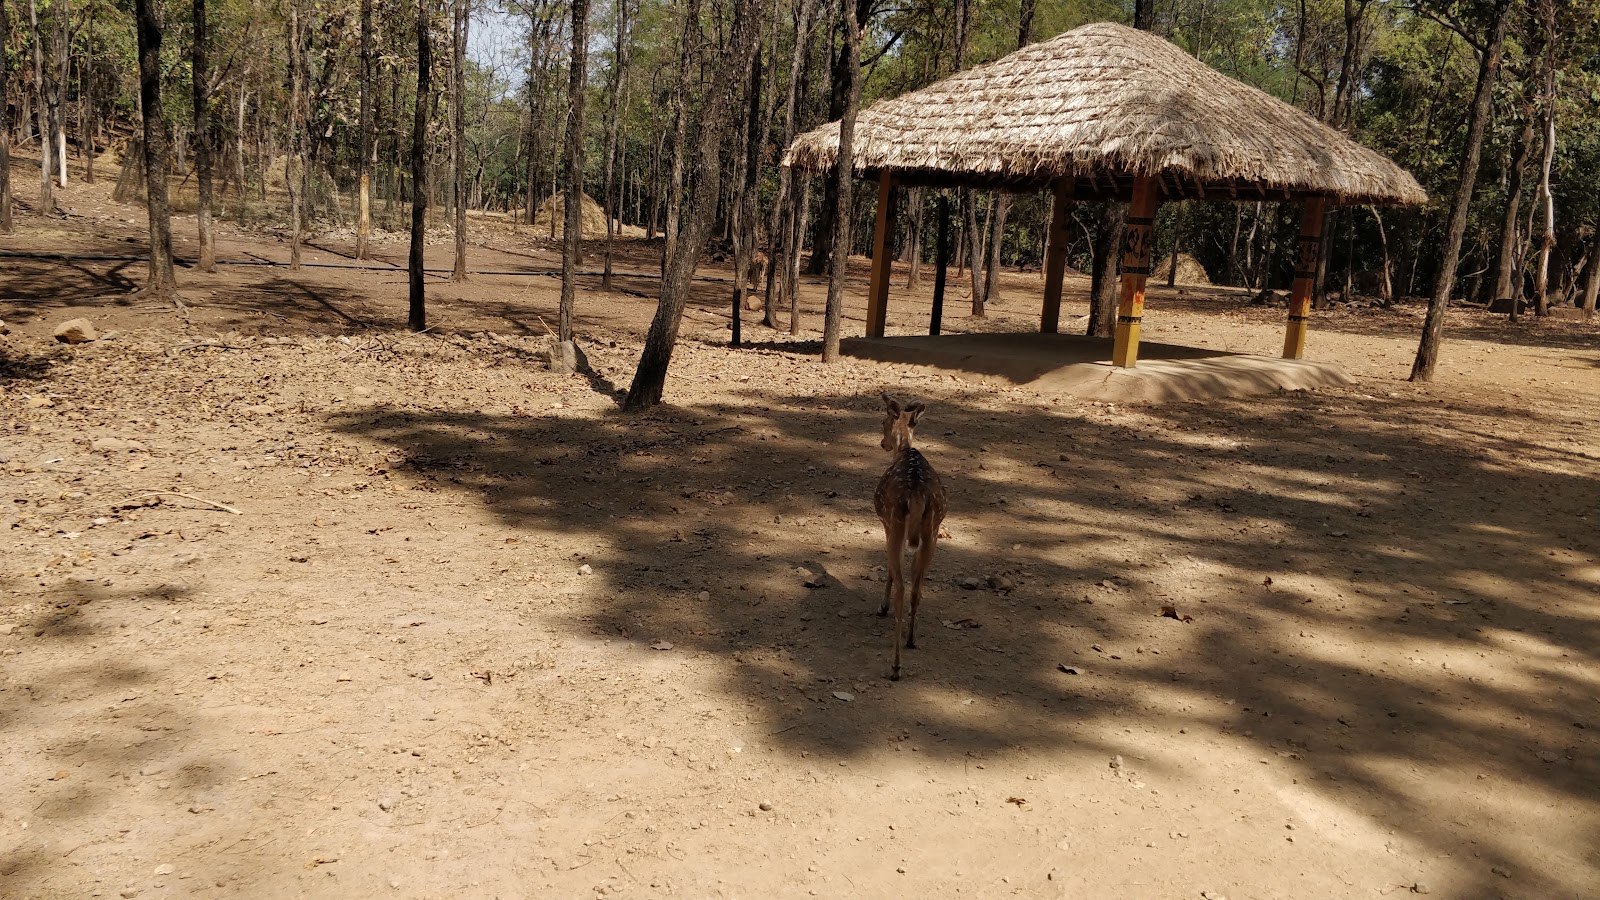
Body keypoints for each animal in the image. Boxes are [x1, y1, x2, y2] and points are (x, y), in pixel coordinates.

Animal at [873, 392, 949, 681]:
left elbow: (890, 570)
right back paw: (911, 639)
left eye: (883, 421)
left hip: (896, 522)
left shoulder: (885, 524)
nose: (883, 443)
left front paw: (881, 606)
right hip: (932, 531)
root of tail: (916, 495)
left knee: (903, 589)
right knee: (917, 588)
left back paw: (895, 666)